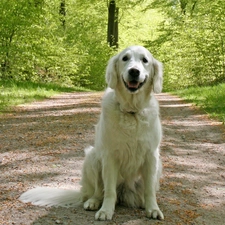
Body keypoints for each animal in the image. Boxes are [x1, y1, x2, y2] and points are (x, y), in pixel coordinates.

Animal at [19, 45, 163, 220]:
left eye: (145, 60)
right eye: (125, 58)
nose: (134, 71)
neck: (131, 111)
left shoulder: (151, 156)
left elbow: (149, 190)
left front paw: (153, 208)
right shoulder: (110, 156)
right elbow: (109, 190)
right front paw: (106, 210)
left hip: (157, 165)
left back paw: (141, 202)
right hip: (92, 157)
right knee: (98, 191)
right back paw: (94, 202)